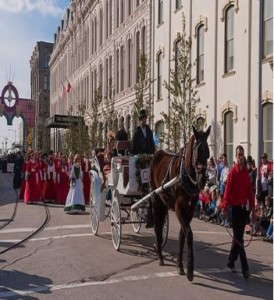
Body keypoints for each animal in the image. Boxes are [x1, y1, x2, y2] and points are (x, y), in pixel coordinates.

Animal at [150, 125, 210, 282]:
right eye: (197, 152)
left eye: (208, 152)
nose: (203, 179)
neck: (186, 175)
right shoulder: (178, 207)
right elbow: (189, 234)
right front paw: (189, 269)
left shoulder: (190, 209)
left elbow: (182, 234)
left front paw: (180, 265)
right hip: (155, 199)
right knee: (157, 227)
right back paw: (160, 256)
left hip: (163, 203)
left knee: (160, 226)